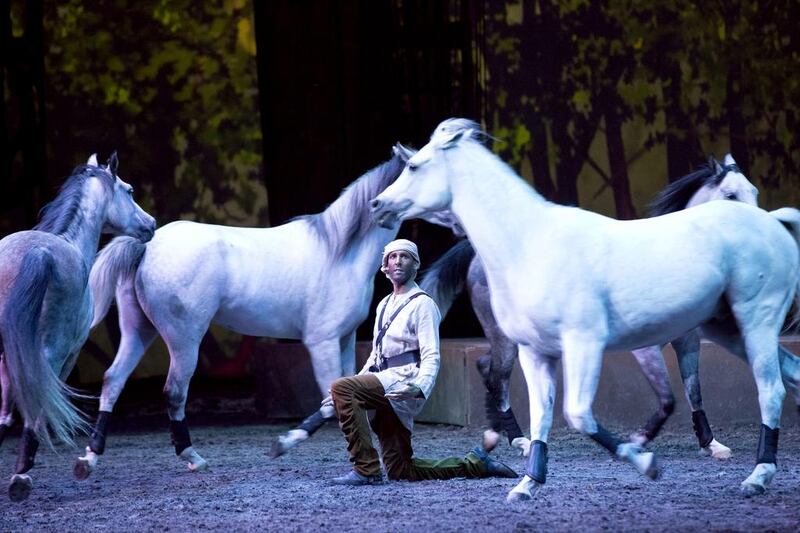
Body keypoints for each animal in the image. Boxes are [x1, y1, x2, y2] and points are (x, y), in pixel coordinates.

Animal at [0, 153, 155, 498]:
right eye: (129, 190)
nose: (151, 224)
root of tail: (38, 253)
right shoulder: (67, 356)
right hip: (52, 353)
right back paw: (20, 478)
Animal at [374, 118, 800, 500]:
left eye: (414, 166)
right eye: (731, 191)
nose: (379, 205)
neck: (529, 242)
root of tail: (773, 226)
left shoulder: (586, 343)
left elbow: (580, 412)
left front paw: (647, 462)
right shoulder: (537, 352)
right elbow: (544, 415)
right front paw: (527, 484)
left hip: (755, 322)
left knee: (772, 388)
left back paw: (757, 477)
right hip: (728, 330)